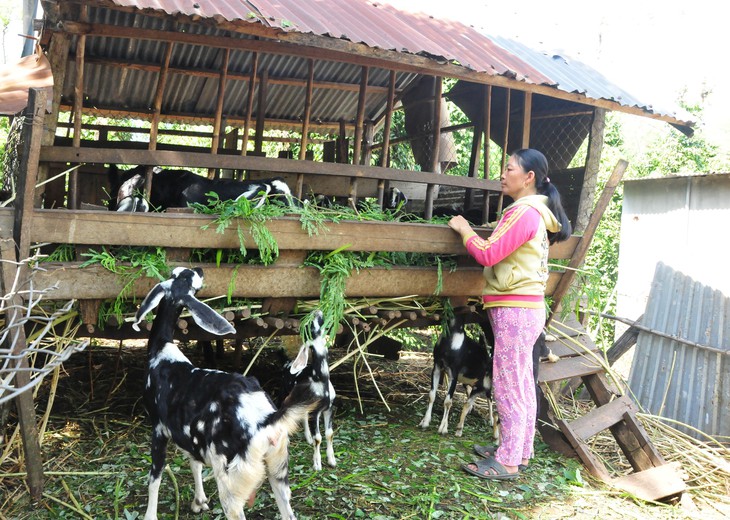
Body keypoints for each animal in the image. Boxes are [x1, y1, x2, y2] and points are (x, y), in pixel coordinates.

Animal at [133, 268, 328, 520]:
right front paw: (199, 501)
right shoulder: (190, 436)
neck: (162, 351)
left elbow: (154, 477)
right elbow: (194, 463)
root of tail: (266, 421)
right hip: (278, 468)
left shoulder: (158, 428)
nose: (200, 269)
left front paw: (150, 514)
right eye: (179, 273)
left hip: (232, 477)